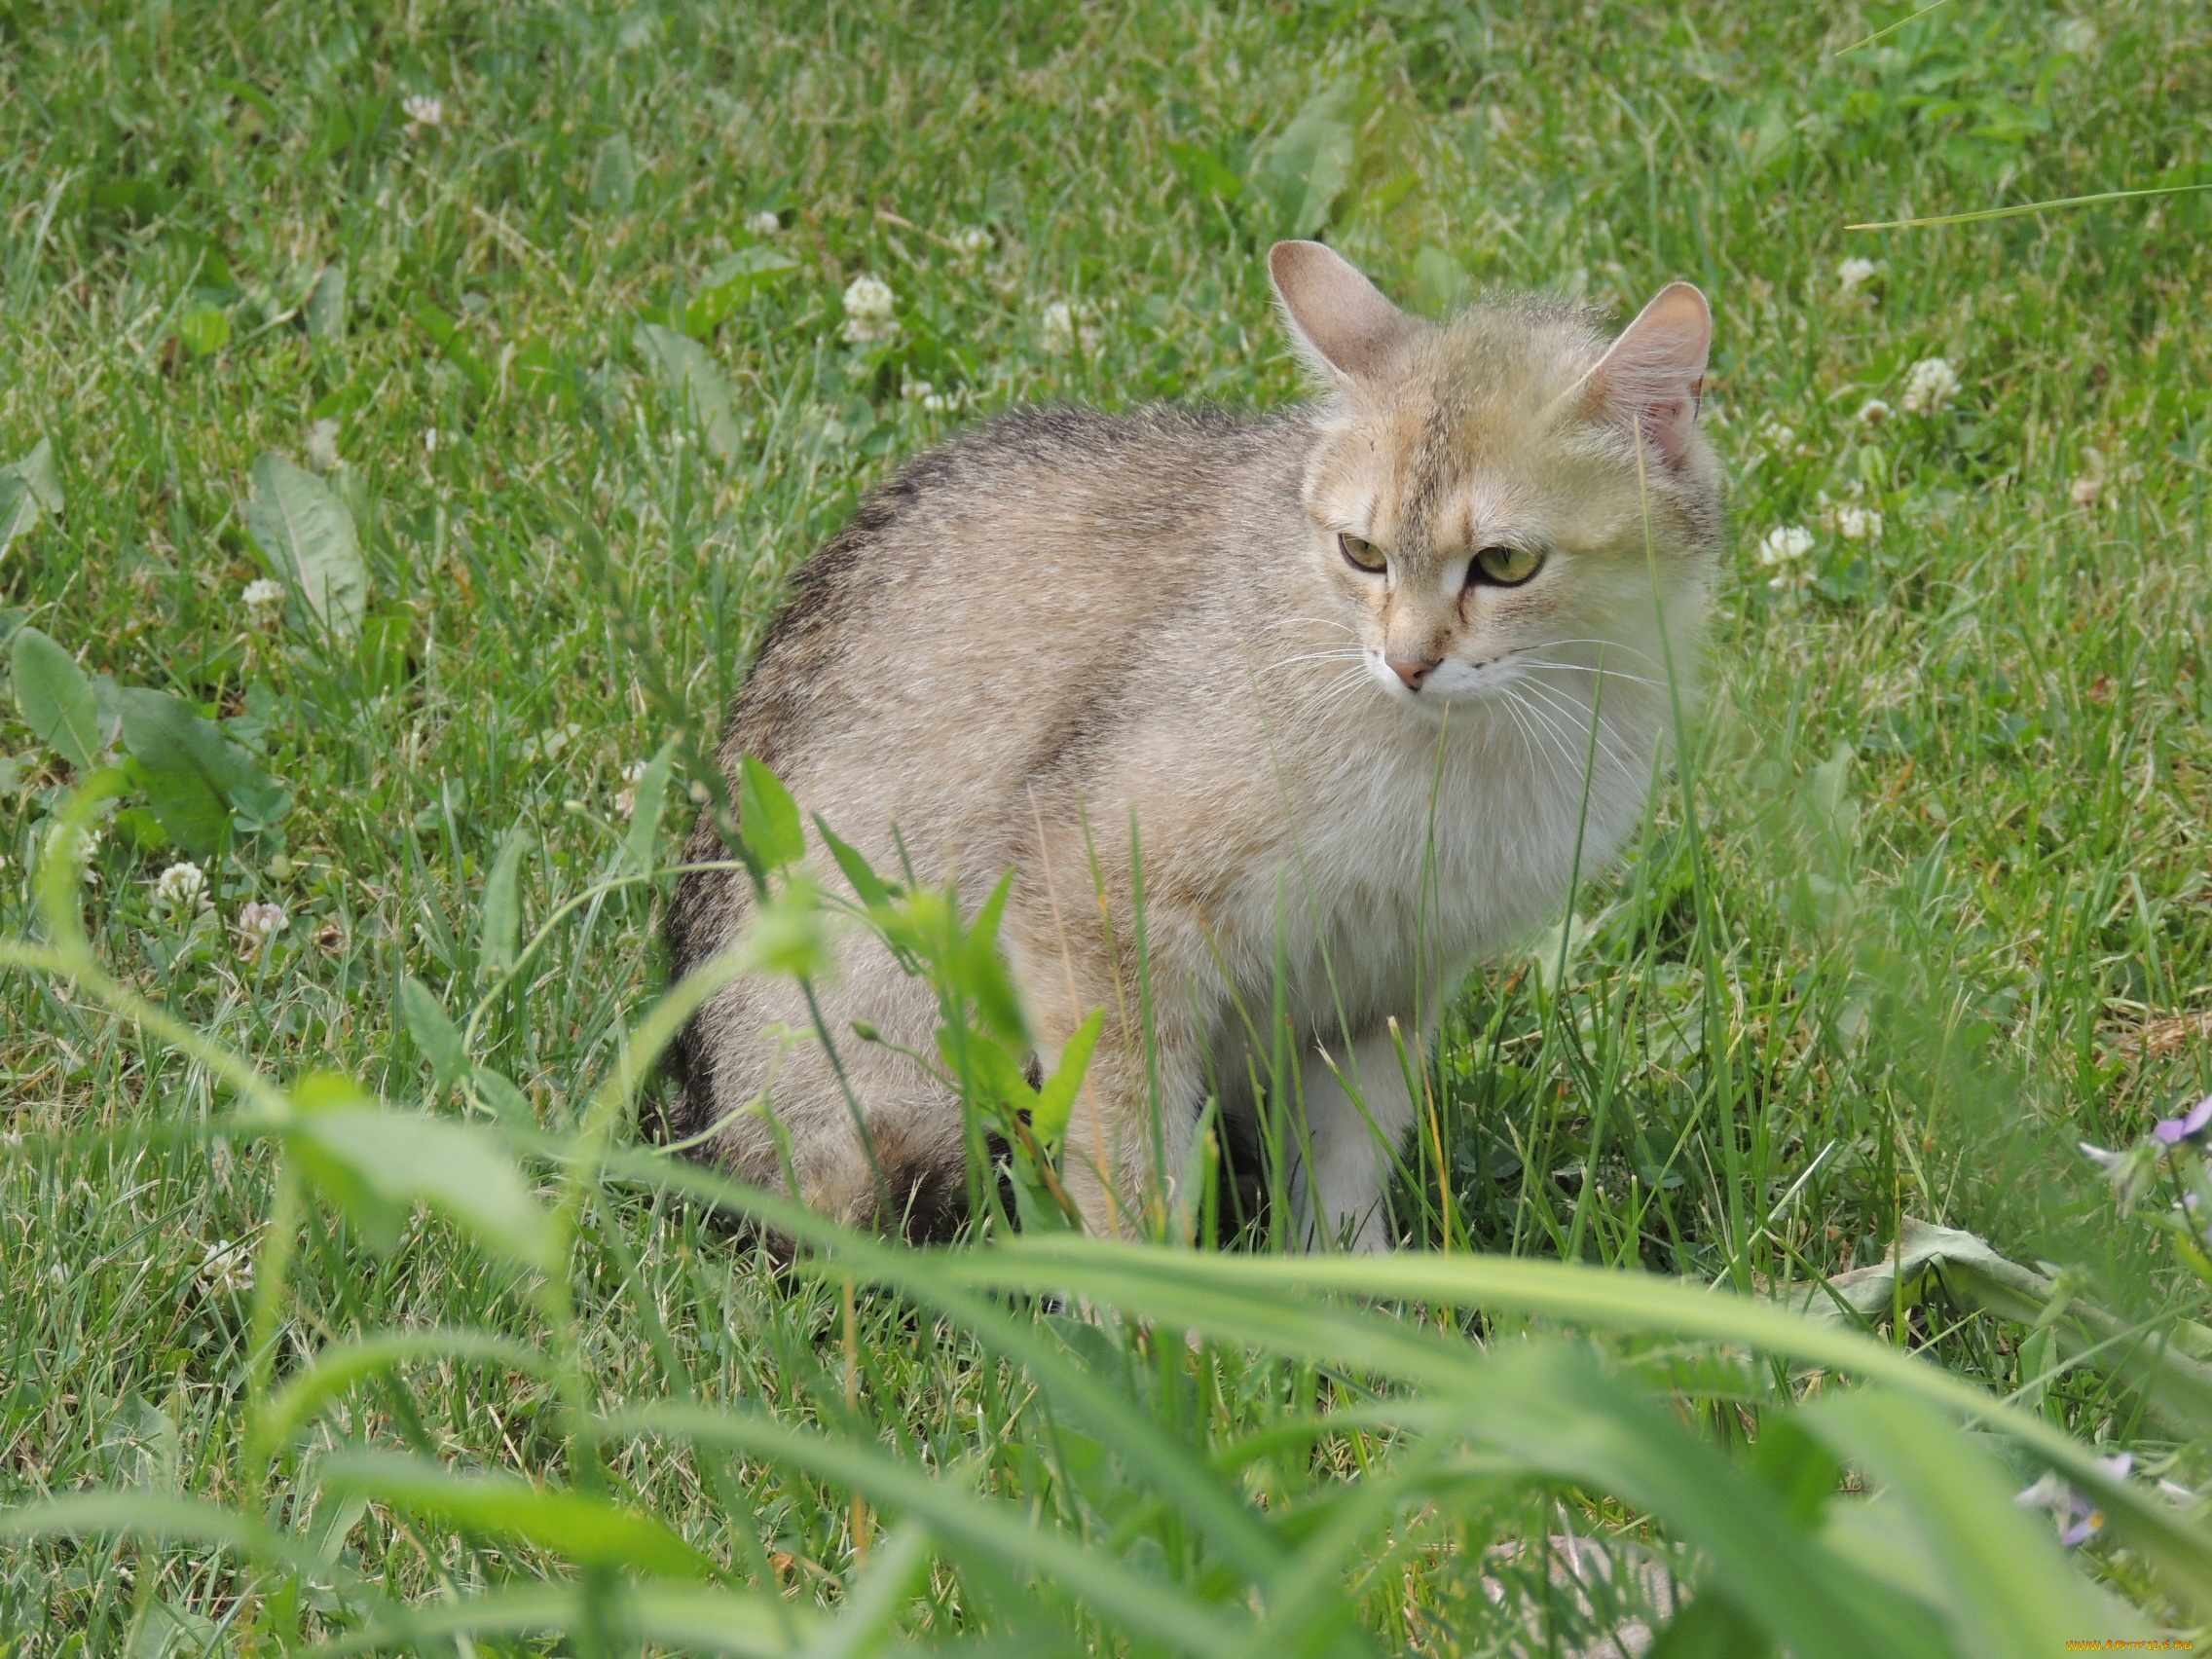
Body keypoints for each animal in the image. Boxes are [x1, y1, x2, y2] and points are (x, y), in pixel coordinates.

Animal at [659, 240, 1725, 1256]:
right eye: (1362, 553)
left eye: (1505, 564)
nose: (1408, 662)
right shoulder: (1089, 908)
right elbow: (1129, 1167)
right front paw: (1157, 1306)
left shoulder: (1380, 986)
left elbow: (1344, 1167)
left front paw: (1358, 1290)